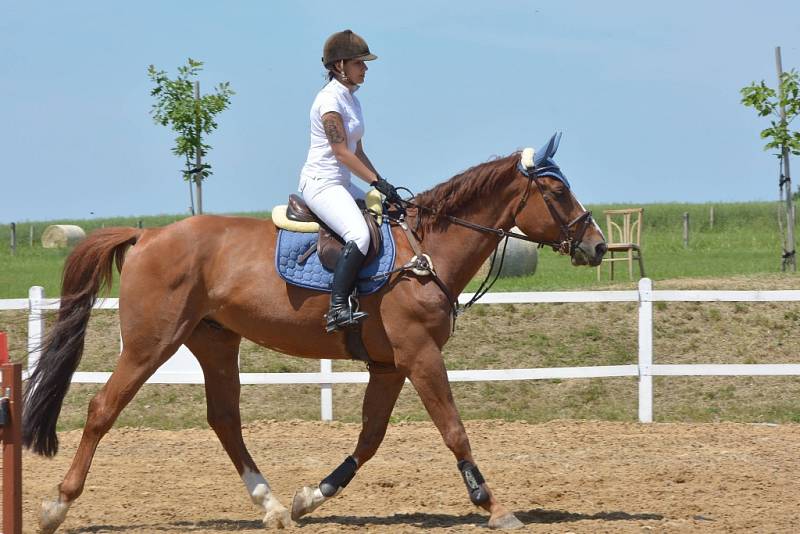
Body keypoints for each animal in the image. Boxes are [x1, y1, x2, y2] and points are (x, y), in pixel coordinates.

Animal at [21, 142, 604, 532]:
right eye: (556, 190)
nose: (597, 246)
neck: (425, 252)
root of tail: (147, 235)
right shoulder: (420, 356)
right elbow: (454, 430)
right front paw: (494, 506)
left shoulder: (390, 365)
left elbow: (370, 439)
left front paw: (311, 497)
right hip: (151, 344)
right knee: (102, 408)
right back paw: (56, 505)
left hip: (214, 342)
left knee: (224, 419)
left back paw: (274, 505)